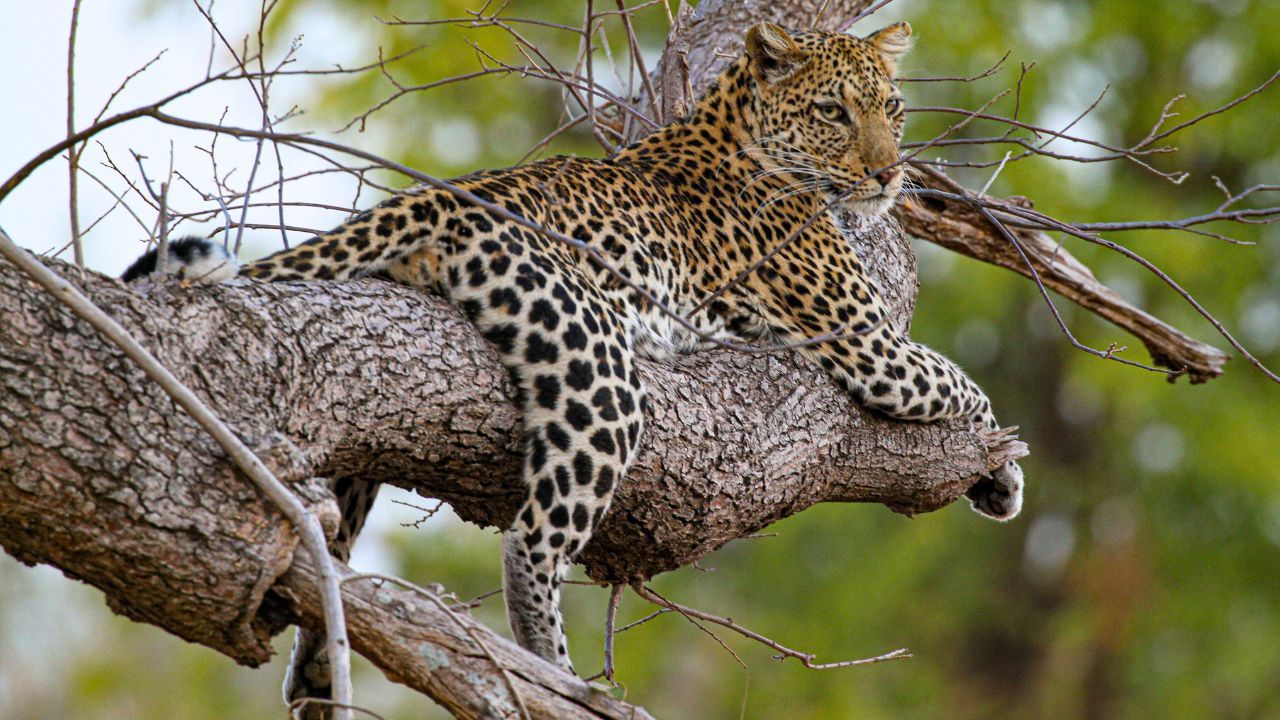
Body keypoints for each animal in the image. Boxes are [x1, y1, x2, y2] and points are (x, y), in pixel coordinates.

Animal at [123, 20, 1025, 707]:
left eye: (894, 110)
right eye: (834, 112)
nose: (888, 173)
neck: (738, 124)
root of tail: (433, 194)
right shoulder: (867, 343)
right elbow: (962, 382)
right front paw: (1004, 471)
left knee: (346, 507)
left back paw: (319, 665)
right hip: (600, 371)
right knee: (532, 542)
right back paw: (555, 678)